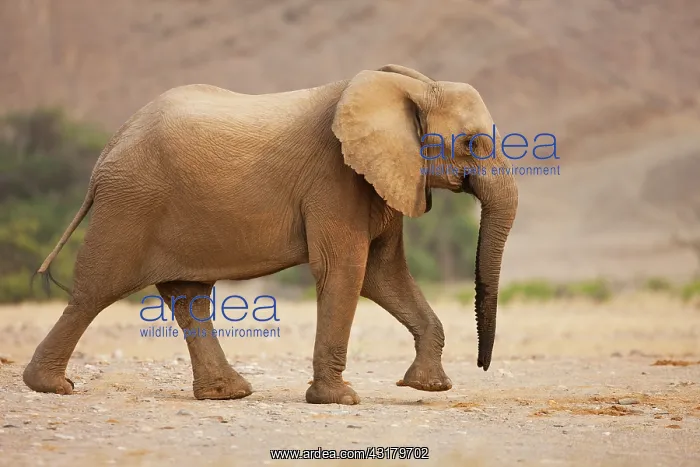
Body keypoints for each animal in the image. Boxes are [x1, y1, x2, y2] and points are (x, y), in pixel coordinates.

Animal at [23, 64, 518, 405]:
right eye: (472, 143)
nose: (483, 365)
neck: (411, 87)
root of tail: (109, 147)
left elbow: (384, 274)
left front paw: (429, 387)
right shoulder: (335, 178)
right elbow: (346, 269)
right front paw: (339, 400)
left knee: (188, 295)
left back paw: (228, 394)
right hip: (129, 205)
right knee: (95, 292)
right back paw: (51, 386)